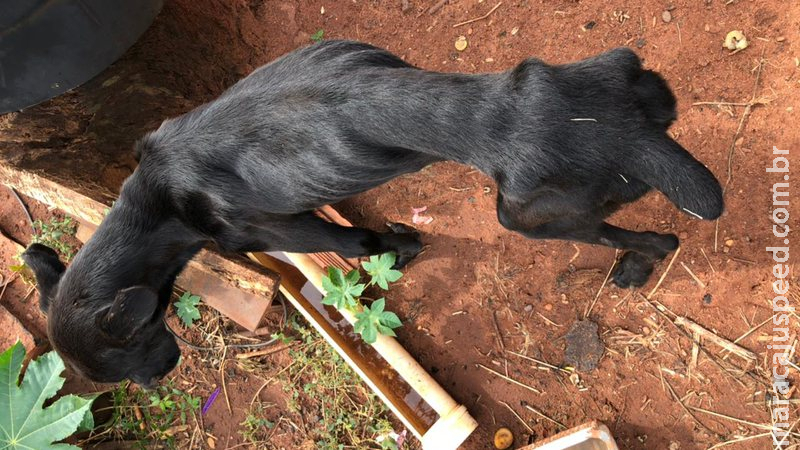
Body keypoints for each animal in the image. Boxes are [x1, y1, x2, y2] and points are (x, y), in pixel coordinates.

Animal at [25, 41, 724, 386]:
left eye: (122, 362)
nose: (155, 383)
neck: (154, 201)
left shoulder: (280, 228)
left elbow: (358, 243)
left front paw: (402, 249)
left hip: (532, 214)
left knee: (657, 239)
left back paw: (636, 265)